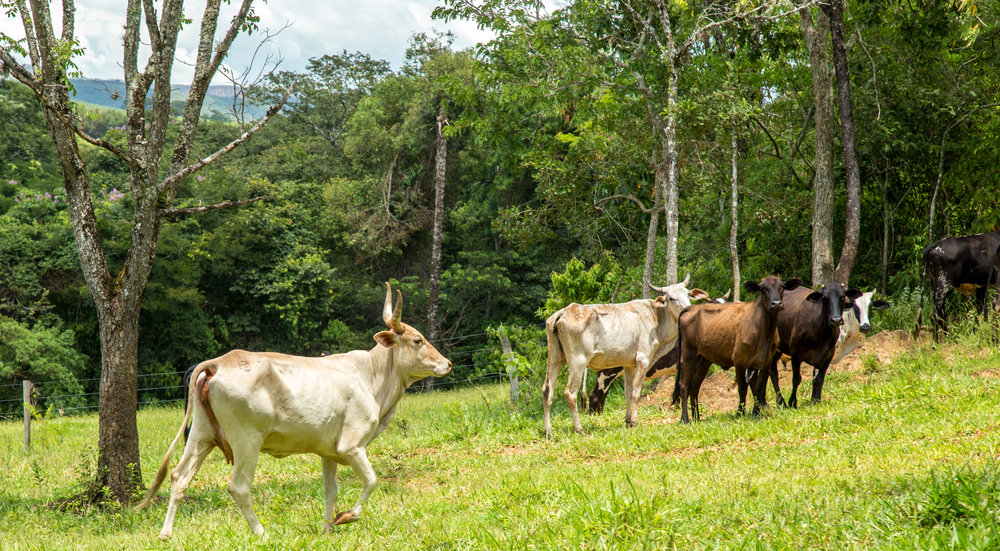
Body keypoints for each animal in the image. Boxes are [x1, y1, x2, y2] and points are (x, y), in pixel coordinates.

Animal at [138, 284, 454, 540]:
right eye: (417, 340)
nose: (448, 363)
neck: (371, 376)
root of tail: (218, 362)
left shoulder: (329, 453)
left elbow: (330, 491)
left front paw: (327, 528)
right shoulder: (352, 446)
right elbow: (371, 481)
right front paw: (346, 517)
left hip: (202, 435)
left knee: (178, 478)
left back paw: (166, 534)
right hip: (246, 441)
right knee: (238, 487)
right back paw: (261, 532)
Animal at [540, 274, 712, 436]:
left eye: (687, 294)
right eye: (671, 298)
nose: (687, 309)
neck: (656, 316)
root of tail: (563, 312)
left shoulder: (629, 365)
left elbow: (628, 393)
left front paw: (628, 420)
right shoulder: (643, 360)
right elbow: (636, 392)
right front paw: (635, 421)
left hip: (554, 359)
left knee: (547, 391)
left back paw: (548, 431)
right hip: (578, 362)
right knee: (570, 393)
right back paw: (579, 428)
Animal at [668, 276, 800, 422]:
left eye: (782, 286)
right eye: (763, 288)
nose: (776, 303)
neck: (765, 330)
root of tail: (691, 307)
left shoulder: (765, 361)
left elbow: (758, 388)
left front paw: (756, 412)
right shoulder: (739, 360)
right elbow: (742, 388)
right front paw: (739, 413)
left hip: (704, 360)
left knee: (694, 387)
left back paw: (696, 418)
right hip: (688, 355)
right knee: (684, 385)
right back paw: (685, 419)